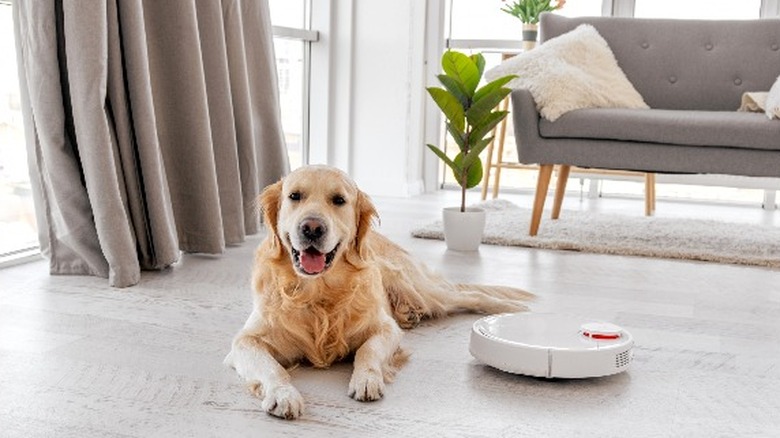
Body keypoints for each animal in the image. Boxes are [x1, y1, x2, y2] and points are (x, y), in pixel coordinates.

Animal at [222, 166, 532, 420]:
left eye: (339, 200)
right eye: (294, 196)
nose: (312, 228)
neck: (319, 293)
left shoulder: (385, 328)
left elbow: (367, 351)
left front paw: (366, 380)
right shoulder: (245, 342)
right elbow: (272, 368)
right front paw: (283, 395)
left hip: (424, 290)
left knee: (469, 295)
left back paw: (515, 309)